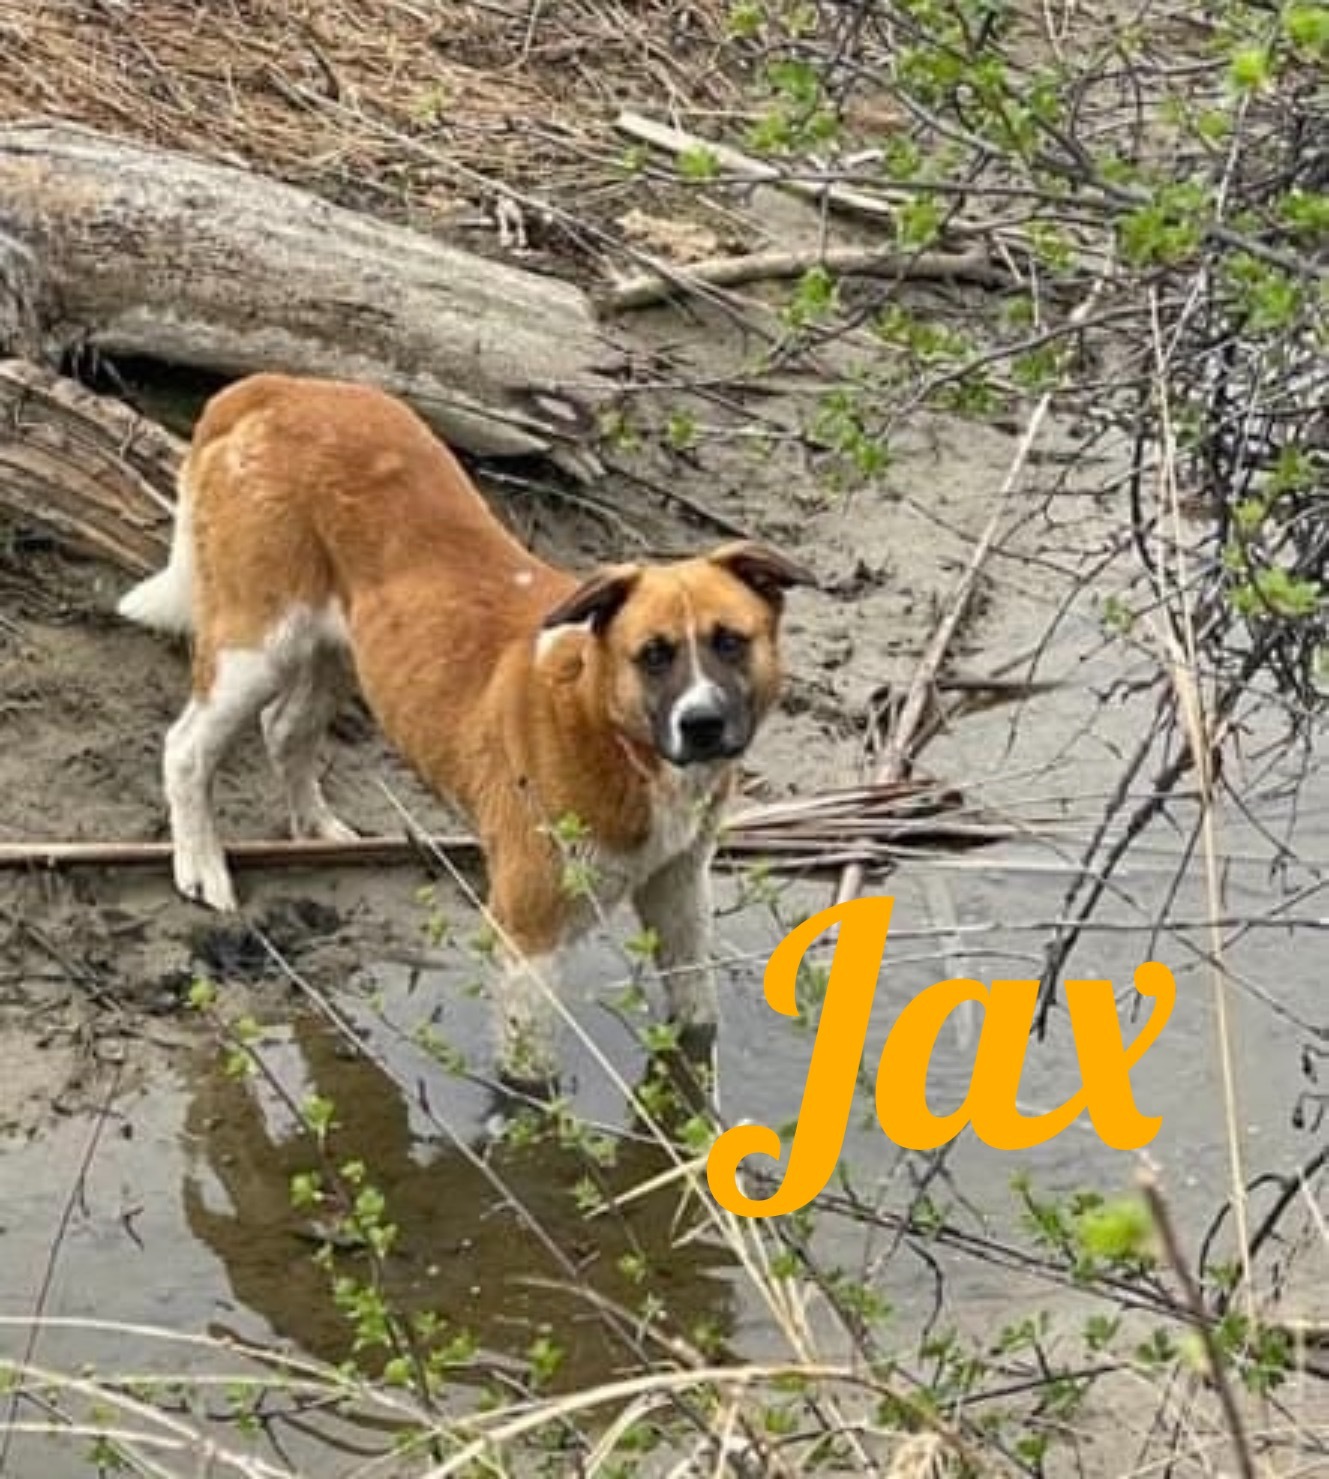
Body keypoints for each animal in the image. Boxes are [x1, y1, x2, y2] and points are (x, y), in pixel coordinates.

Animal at [121, 369, 810, 1088]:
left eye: (730, 641)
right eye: (653, 654)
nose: (701, 723)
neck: (612, 734)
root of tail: (276, 386)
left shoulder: (680, 898)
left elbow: (697, 1023)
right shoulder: (529, 937)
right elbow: (530, 1082)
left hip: (342, 651)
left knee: (284, 728)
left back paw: (315, 826)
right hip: (254, 648)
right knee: (185, 748)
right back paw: (201, 865)